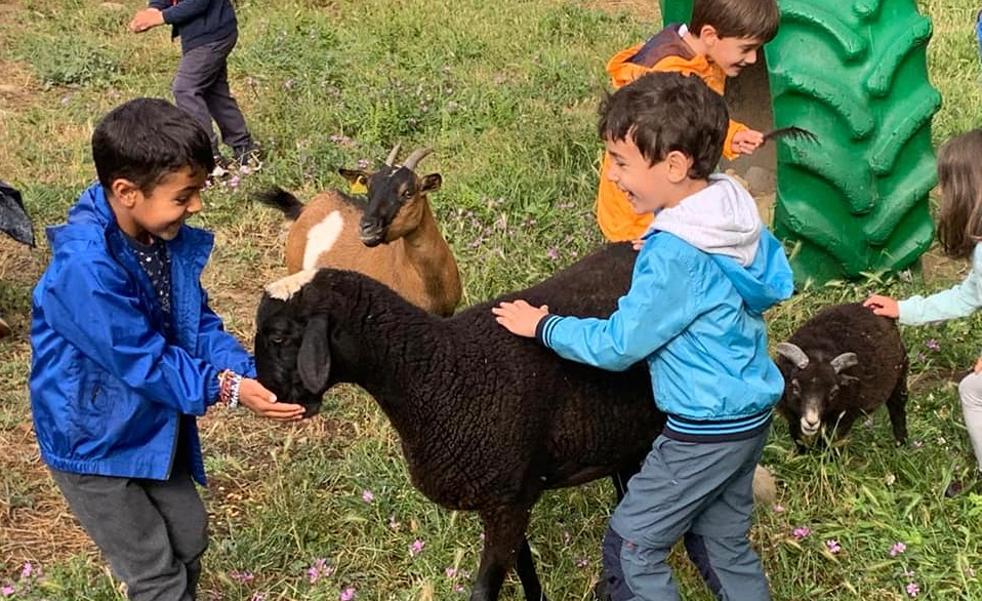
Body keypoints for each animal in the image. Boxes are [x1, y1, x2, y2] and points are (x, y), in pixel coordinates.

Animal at [254, 244, 776, 600]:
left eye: (280, 336)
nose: (272, 398)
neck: (439, 373)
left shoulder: (506, 501)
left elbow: (485, 589)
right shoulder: (509, 494)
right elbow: (524, 567)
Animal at [772, 302, 912, 448]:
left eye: (833, 392)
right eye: (795, 387)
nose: (811, 422)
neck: (819, 352)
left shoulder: (843, 420)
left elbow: (830, 444)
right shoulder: (792, 418)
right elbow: (800, 441)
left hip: (900, 380)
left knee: (898, 409)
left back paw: (901, 443)